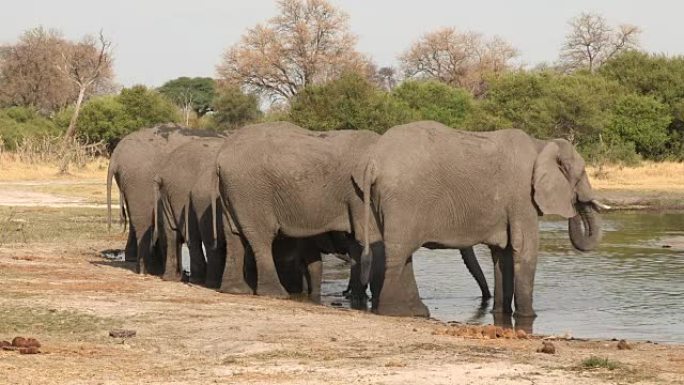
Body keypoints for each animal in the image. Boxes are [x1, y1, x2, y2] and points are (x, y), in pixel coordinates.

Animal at [153, 136, 226, 286]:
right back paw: (195, 280)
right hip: (180, 193)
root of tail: (163, 172)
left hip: (171, 194)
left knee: (172, 232)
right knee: (190, 235)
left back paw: (172, 278)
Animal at [356, 121, 608, 318]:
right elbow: (524, 249)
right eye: (581, 173)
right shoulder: (521, 196)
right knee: (398, 253)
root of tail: (373, 162)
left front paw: (501, 314)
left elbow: (503, 254)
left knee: (403, 253)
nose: (576, 201)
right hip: (404, 198)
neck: (541, 144)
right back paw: (394, 312)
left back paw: (417, 312)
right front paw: (529, 317)